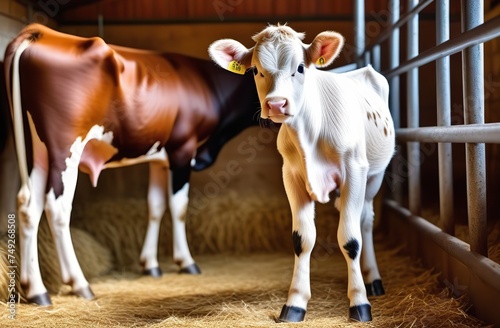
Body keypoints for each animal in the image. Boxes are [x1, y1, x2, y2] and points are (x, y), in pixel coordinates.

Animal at [3, 24, 260, 306]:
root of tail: (40, 31)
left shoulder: (160, 158)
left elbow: (155, 205)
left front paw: (151, 265)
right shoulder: (182, 149)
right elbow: (179, 206)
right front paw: (186, 262)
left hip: (39, 151)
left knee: (29, 205)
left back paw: (36, 290)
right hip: (65, 148)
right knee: (56, 206)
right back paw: (79, 283)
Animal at [209, 24, 396, 322]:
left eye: (299, 67)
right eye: (256, 70)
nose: (276, 104)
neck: (310, 134)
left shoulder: (354, 171)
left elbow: (350, 239)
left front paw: (359, 303)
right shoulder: (292, 176)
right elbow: (302, 239)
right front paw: (295, 303)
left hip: (373, 177)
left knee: (365, 220)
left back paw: (373, 280)